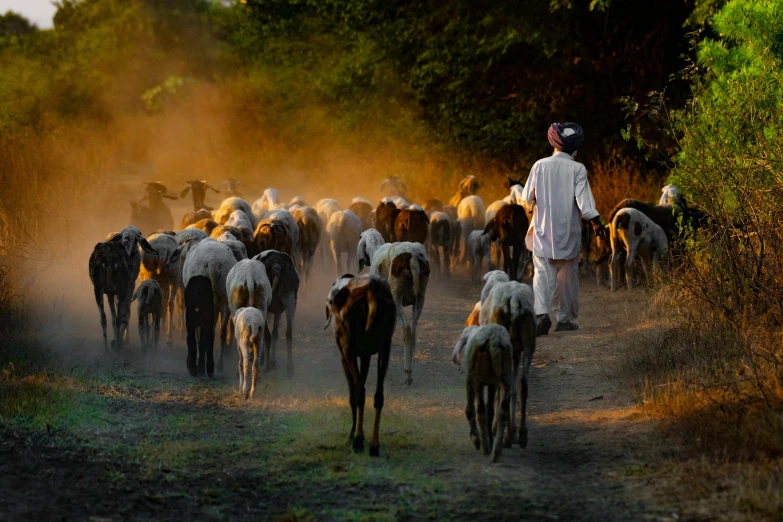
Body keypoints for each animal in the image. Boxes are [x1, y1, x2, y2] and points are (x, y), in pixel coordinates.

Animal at [182, 238, 237, 372]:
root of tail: (213, 263)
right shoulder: (215, 306)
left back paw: (201, 365)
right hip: (224, 296)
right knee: (221, 332)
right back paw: (219, 364)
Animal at [326, 274, 398, 452]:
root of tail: (371, 291)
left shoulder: (345, 356)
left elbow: (353, 394)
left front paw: (352, 435)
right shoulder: (366, 355)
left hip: (349, 352)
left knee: (361, 393)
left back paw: (358, 440)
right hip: (385, 347)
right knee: (378, 395)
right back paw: (374, 444)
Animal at [370, 242, 432, 384]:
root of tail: (412, 257)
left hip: (396, 294)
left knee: (406, 329)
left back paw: (407, 373)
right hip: (420, 296)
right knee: (413, 332)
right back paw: (409, 374)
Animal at [454, 322, 516, 462]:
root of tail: (494, 340)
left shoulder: (471, 380)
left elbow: (470, 409)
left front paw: (475, 438)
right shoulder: (493, 383)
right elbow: (491, 411)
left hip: (478, 378)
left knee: (480, 410)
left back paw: (485, 447)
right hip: (505, 375)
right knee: (503, 411)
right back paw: (496, 451)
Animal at [480, 280, 536, 446]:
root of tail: (514, 301)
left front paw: (496, 426)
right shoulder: (516, 352)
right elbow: (514, 389)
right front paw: (513, 429)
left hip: (502, 345)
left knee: (505, 385)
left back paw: (506, 435)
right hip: (529, 342)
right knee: (522, 383)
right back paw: (522, 433)